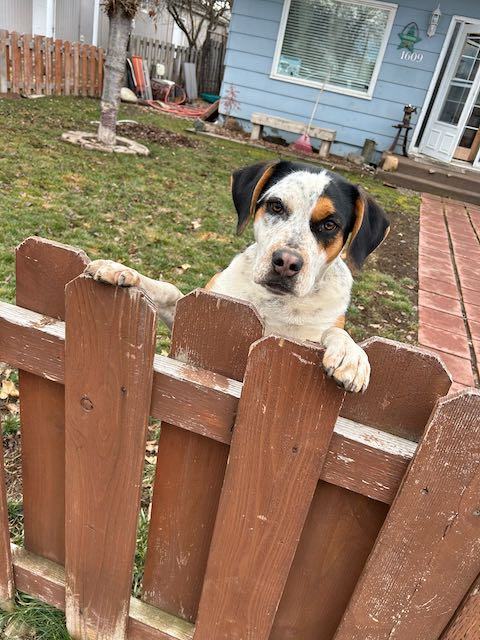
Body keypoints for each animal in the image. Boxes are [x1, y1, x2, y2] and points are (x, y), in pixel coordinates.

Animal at [84, 161, 388, 390]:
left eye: (329, 224)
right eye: (276, 206)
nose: (286, 263)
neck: (273, 303)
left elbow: (334, 332)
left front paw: (350, 354)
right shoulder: (192, 311)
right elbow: (168, 289)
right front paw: (120, 269)